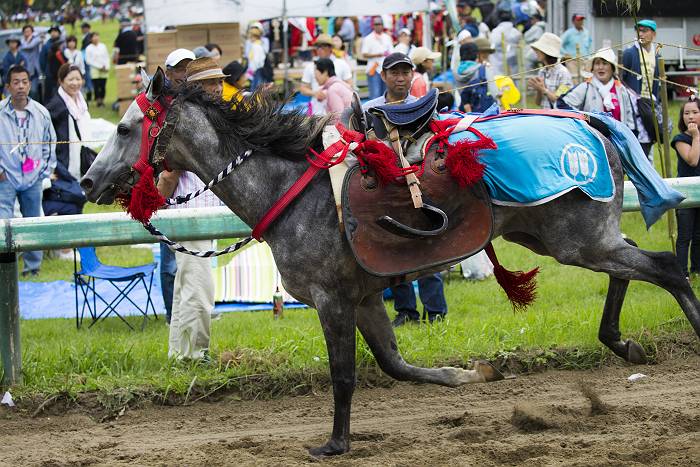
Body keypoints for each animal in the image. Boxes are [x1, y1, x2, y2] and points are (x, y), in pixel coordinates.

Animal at [80, 70, 700, 458]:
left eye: (123, 128)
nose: (86, 180)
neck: (291, 188)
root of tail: (590, 123)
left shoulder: (332, 300)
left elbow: (345, 373)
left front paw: (334, 443)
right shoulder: (363, 298)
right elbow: (396, 365)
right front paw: (470, 374)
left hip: (576, 239)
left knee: (667, 265)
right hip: (561, 237)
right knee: (633, 263)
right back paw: (621, 341)